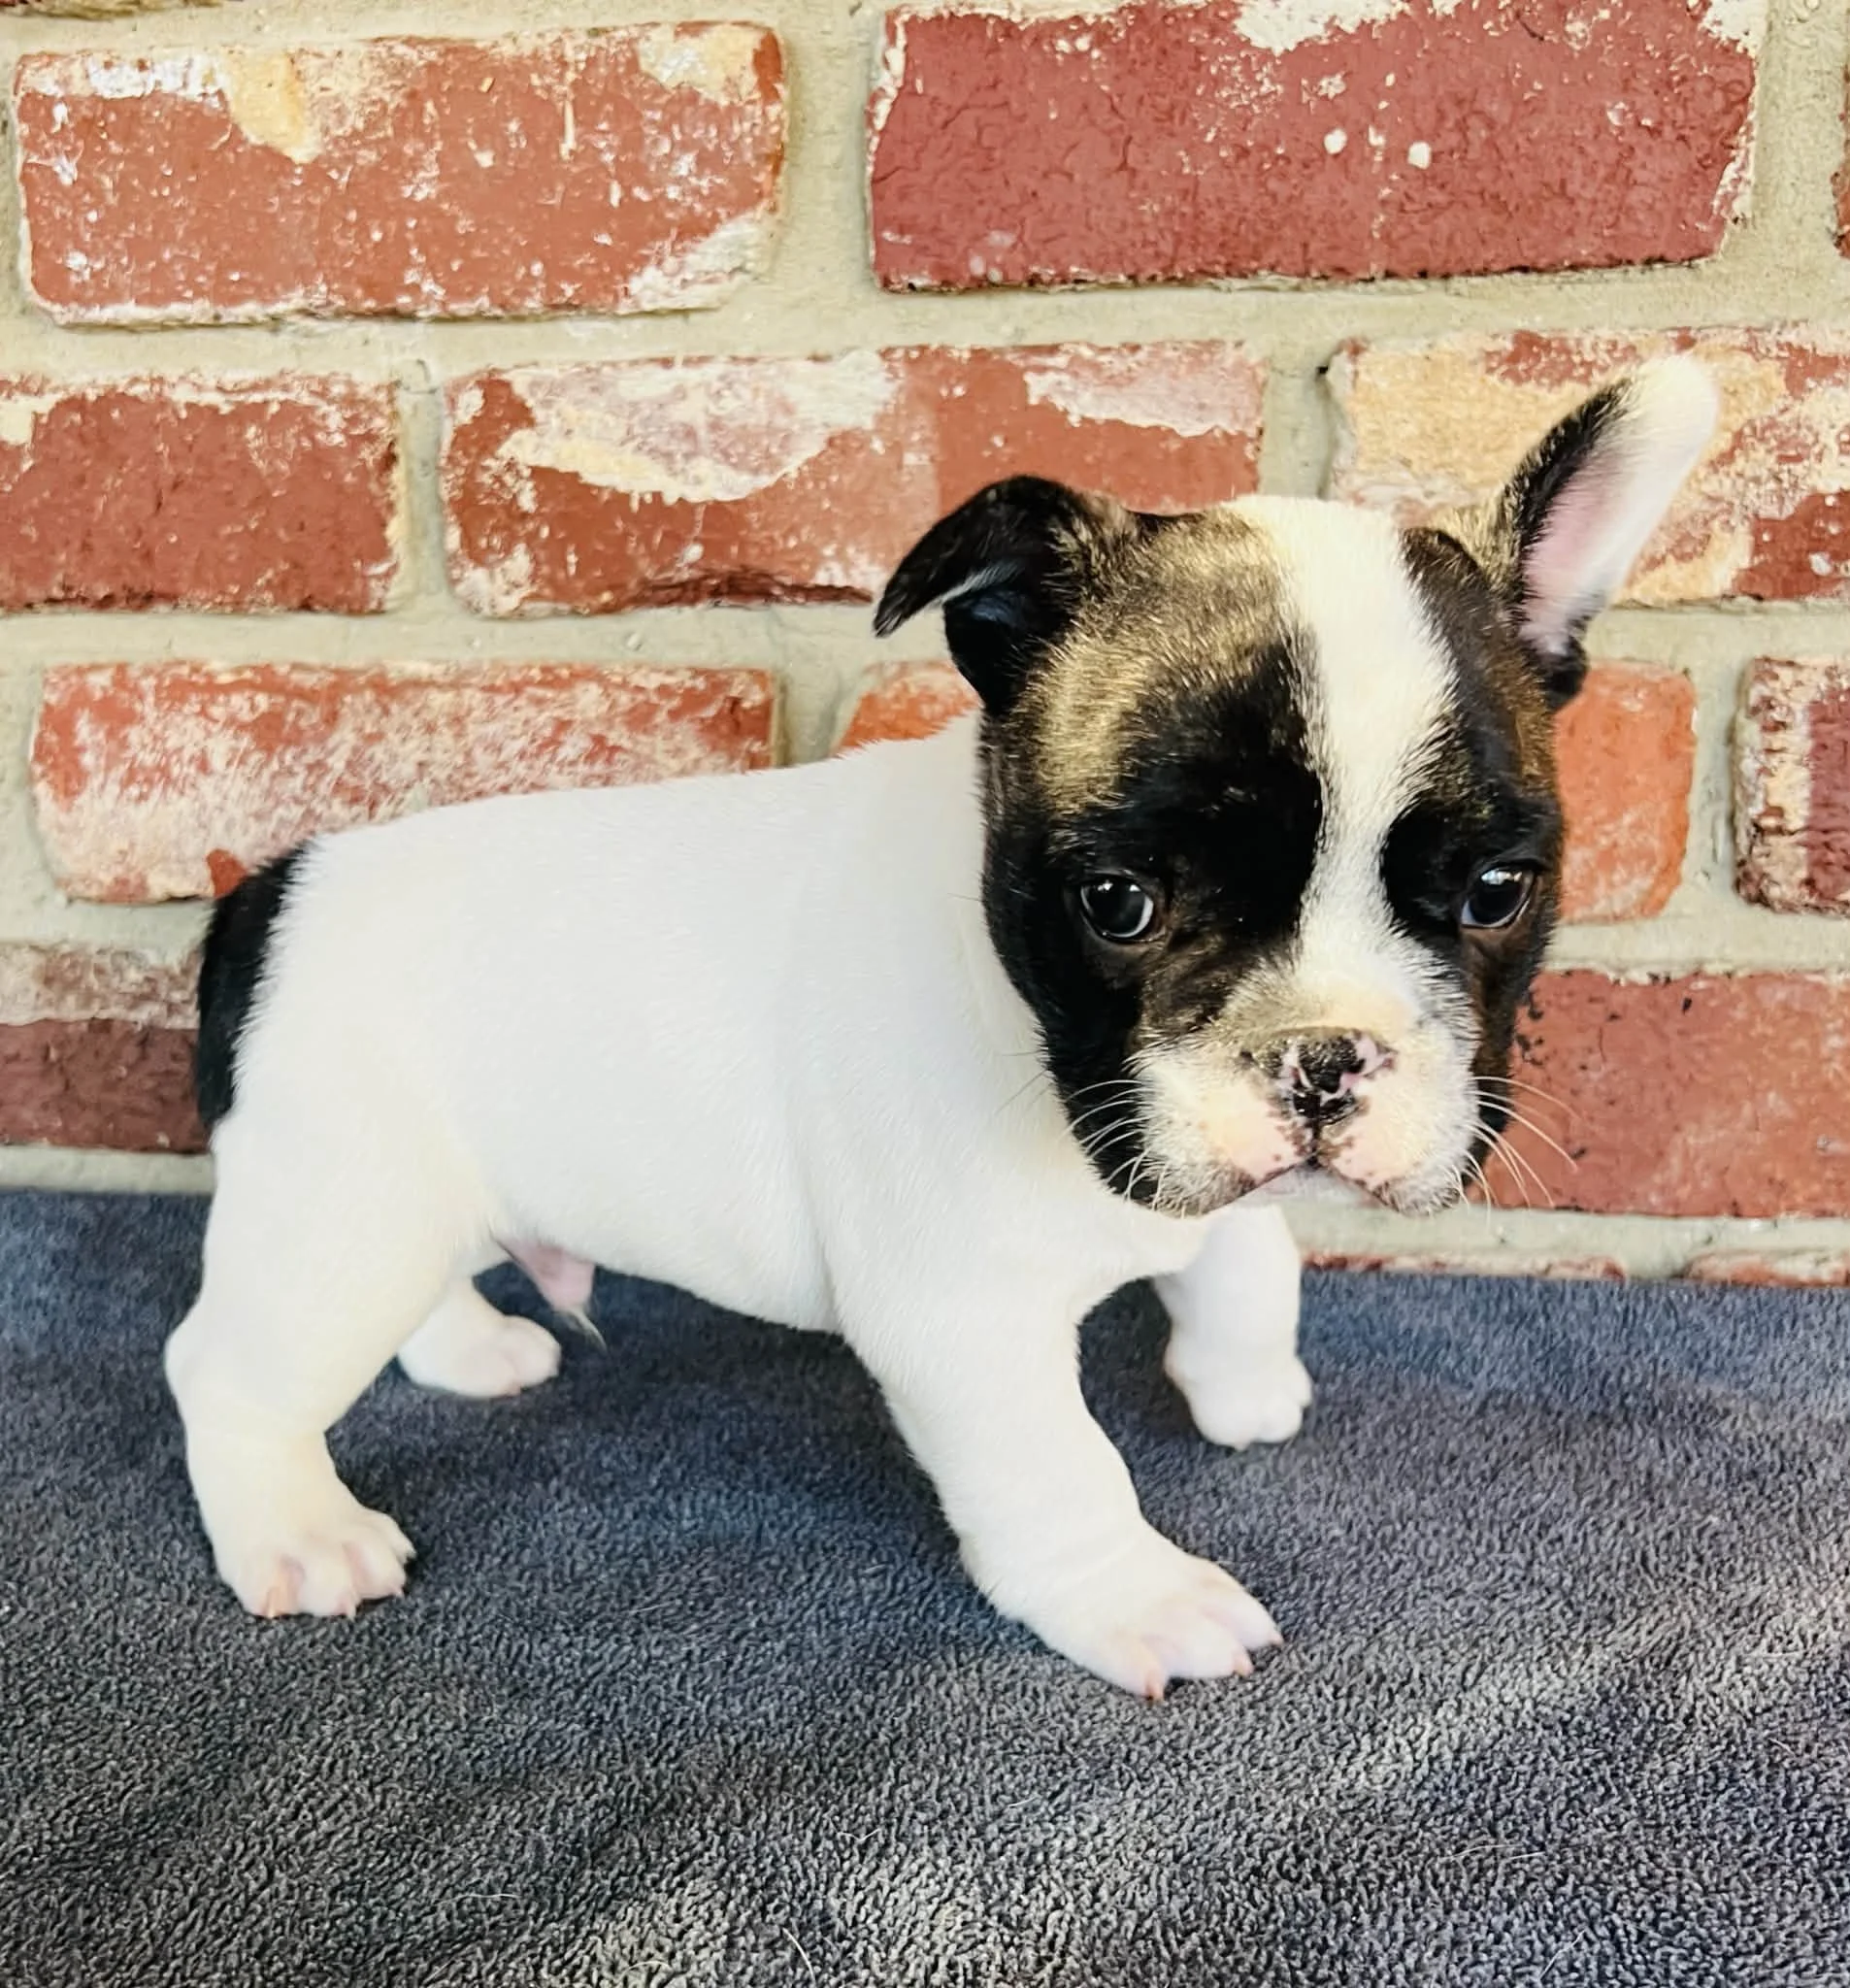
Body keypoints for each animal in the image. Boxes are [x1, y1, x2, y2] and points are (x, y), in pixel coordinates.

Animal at [166, 357, 1716, 1697]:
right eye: (1118, 901)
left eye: (1495, 892)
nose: (1323, 1056)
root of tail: (275, 890)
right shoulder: (963, 1314)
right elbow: (1060, 1462)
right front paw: (1135, 1593)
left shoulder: (1193, 1159)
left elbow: (1246, 1256)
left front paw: (1244, 1381)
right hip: (341, 1204)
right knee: (229, 1367)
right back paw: (297, 1531)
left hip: (406, 1196)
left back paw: (473, 1353)